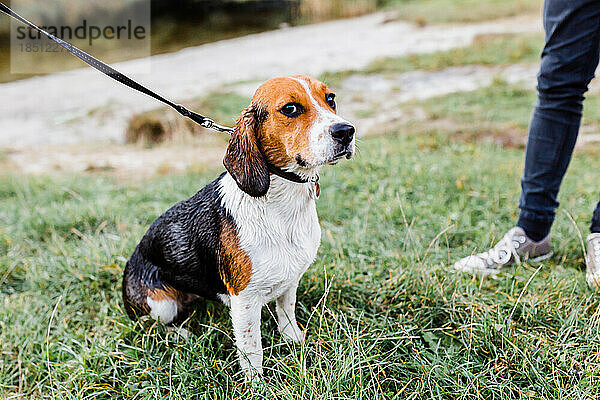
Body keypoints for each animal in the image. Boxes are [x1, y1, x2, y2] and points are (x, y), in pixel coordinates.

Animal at [123, 74, 356, 378]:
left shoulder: (290, 281)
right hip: (161, 305)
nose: (347, 131)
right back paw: (180, 335)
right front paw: (257, 383)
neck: (281, 199)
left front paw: (294, 340)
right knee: (152, 326)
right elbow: (252, 348)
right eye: (290, 109)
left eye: (330, 99)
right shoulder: (244, 300)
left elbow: (287, 313)